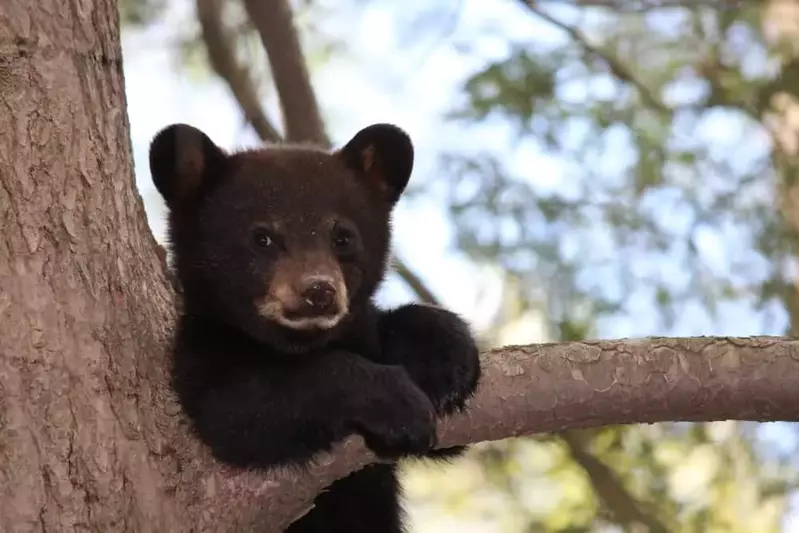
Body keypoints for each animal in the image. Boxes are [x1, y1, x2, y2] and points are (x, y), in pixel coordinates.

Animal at [148, 122, 481, 533]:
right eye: (263, 238)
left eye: (343, 237)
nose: (319, 290)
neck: (300, 342)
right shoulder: (203, 350)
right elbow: (239, 409)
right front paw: (396, 401)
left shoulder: (361, 332)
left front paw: (443, 359)